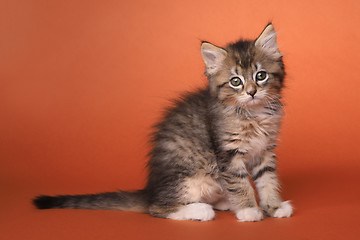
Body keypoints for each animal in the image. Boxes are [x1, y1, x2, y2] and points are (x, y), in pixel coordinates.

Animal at [33, 23, 292, 221]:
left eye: (260, 76)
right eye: (235, 81)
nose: (251, 92)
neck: (253, 114)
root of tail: (150, 189)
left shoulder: (264, 150)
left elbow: (267, 180)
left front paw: (274, 207)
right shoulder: (228, 154)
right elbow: (240, 184)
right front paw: (249, 210)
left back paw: (223, 202)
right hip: (192, 177)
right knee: (157, 208)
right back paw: (201, 210)